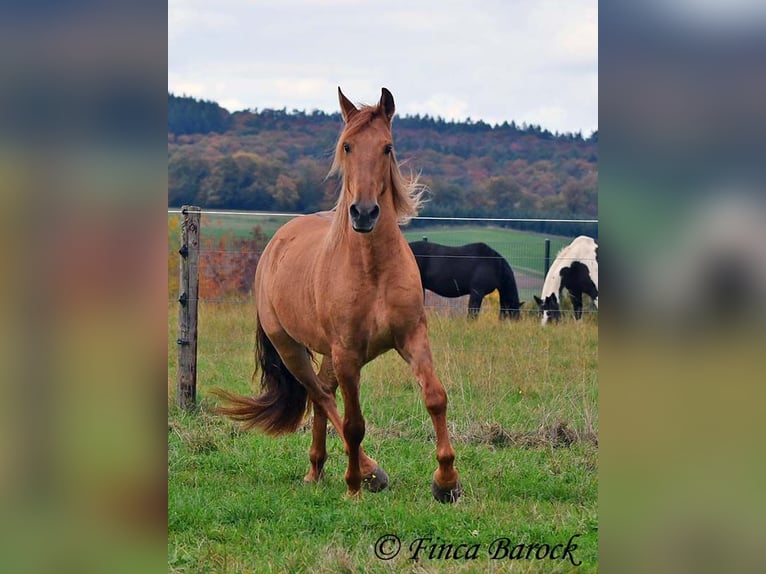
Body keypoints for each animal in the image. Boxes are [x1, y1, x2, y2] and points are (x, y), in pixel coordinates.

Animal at [213, 88, 462, 503]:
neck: (373, 270)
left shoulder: (412, 336)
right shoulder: (347, 354)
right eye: (347, 146)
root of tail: (278, 241)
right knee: (321, 396)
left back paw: (317, 469)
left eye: (387, 147)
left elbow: (435, 397)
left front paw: (446, 482)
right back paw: (368, 471)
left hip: (329, 354)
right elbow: (354, 423)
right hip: (291, 347)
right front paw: (354, 488)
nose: (363, 213)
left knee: (321, 394)